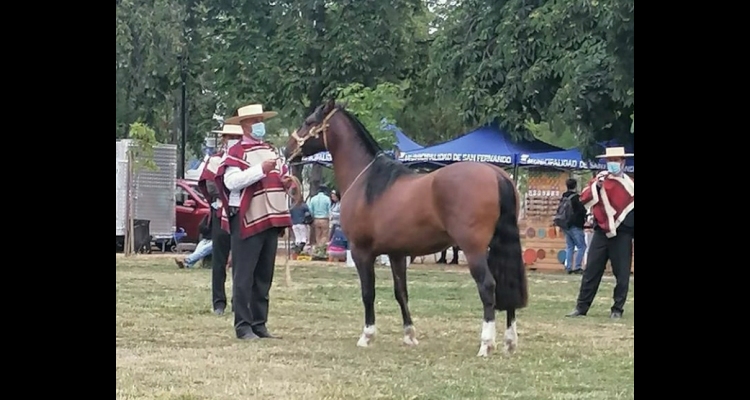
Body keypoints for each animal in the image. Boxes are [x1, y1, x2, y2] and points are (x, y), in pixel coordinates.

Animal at [284, 100, 532, 356]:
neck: (366, 181)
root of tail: (496, 174)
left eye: (309, 122)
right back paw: (509, 342)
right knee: (507, 283)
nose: (287, 149)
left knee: (488, 286)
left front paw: (367, 336)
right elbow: (401, 292)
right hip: (497, 246)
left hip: (474, 249)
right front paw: (409, 335)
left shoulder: (361, 252)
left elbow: (368, 293)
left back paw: (486, 344)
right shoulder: (397, 254)